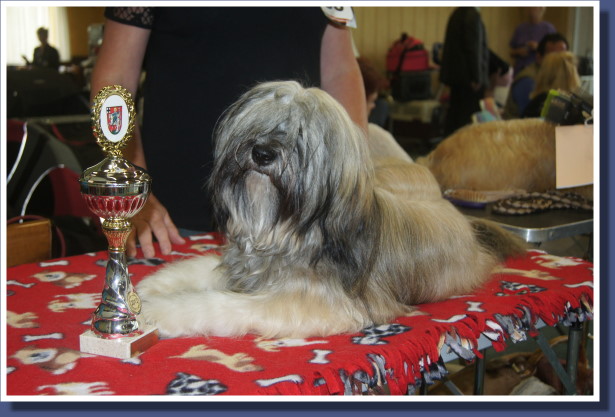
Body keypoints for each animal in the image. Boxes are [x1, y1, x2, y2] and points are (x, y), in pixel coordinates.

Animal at [137, 80, 528, 338]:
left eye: (301, 135)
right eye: (260, 125)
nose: (261, 153)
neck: (290, 233)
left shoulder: (315, 302)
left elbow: (218, 304)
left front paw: (157, 312)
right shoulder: (247, 268)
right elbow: (197, 268)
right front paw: (145, 289)